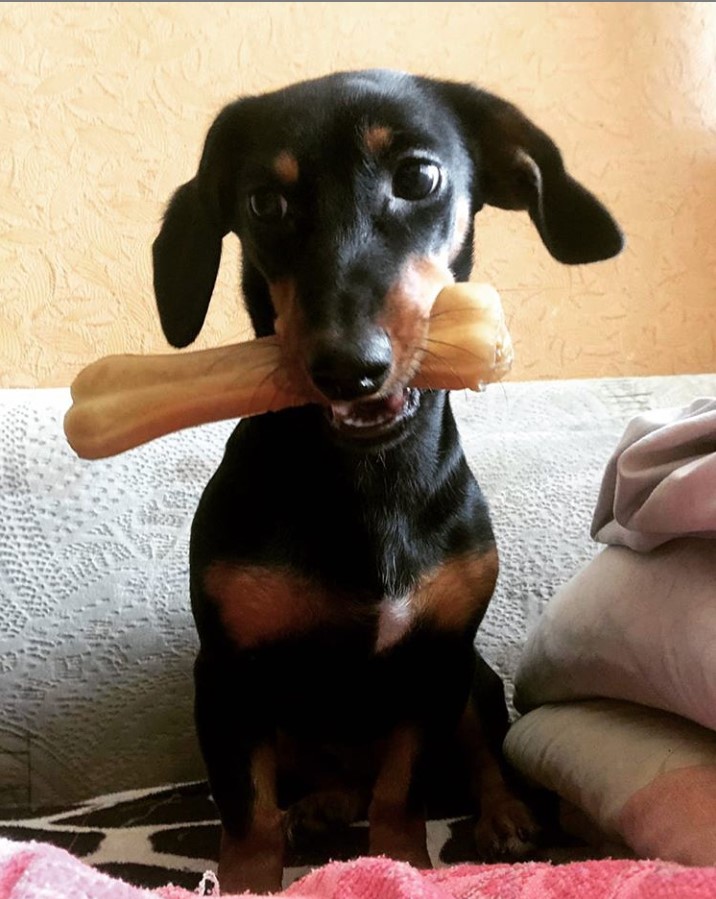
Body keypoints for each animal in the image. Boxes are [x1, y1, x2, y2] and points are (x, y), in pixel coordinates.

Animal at [152, 70, 620, 892]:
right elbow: (247, 811)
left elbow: (403, 791)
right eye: (263, 204)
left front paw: (398, 863)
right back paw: (323, 805)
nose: (348, 367)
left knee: (478, 754)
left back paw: (504, 816)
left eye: (419, 177)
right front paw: (249, 878)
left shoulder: (435, 661)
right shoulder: (230, 675)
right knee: (322, 781)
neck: (366, 476)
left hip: (475, 678)